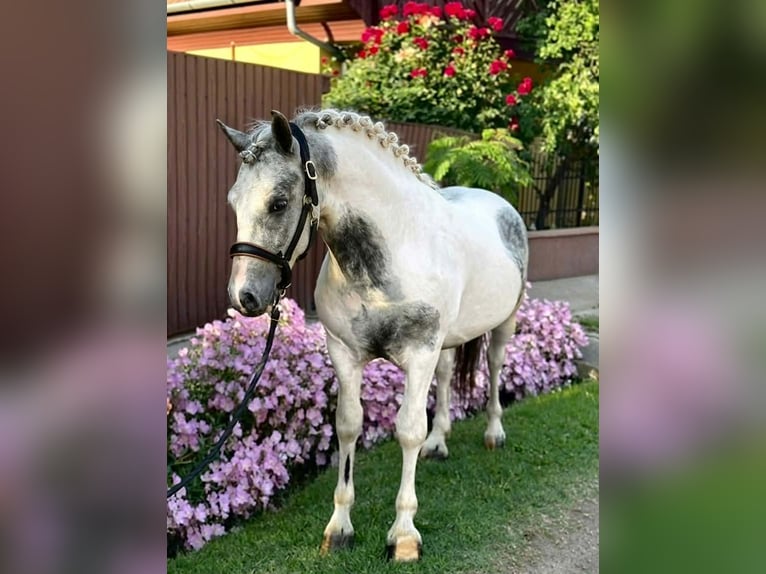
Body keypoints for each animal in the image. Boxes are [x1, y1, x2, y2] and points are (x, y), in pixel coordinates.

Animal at [216, 109, 528, 562]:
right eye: (233, 201)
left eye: (278, 202)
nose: (245, 296)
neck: (393, 254)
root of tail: (501, 205)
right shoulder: (344, 354)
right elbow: (348, 426)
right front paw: (339, 528)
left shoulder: (419, 353)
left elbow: (409, 430)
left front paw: (404, 536)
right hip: (447, 341)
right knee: (447, 376)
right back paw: (439, 443)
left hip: (505, 323)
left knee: (495, 364)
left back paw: (493, 434)